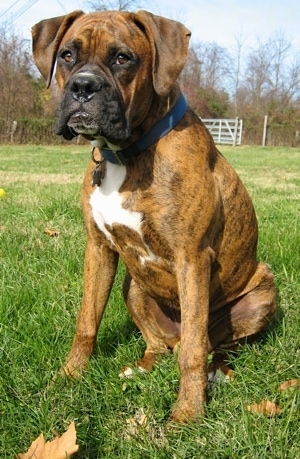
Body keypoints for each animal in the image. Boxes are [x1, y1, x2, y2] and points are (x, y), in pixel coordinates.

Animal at [31, 10, 276, 422]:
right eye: (67, 55)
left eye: (123, 58)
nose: (83, 86)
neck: (125, 154)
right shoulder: (98, 250)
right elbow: (86, 322)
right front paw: (67, 378)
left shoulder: (192, 259)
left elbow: (194, 349)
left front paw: (188, 414)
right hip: (134, 286)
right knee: (160, 346)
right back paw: (140, 367)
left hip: (262, 294)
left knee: (213, 345)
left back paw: (217, 372)